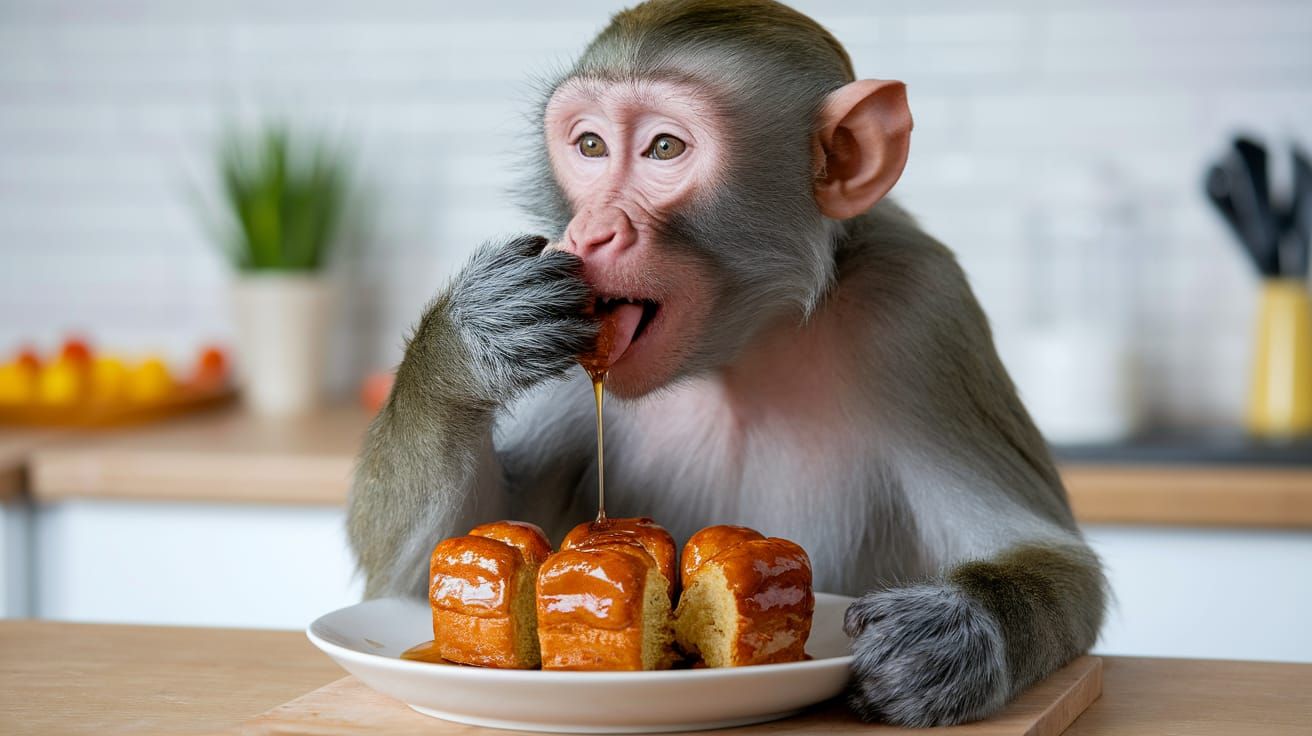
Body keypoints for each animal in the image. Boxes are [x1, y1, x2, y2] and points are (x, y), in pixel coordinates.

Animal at [347, 0, 1106, 727]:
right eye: (590, 145)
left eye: (663, 148)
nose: (590, 230)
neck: (740, 346)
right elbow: (418, 567)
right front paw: (469, 340)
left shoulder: (921, 308)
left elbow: (1055, 558)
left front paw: (951, 633)